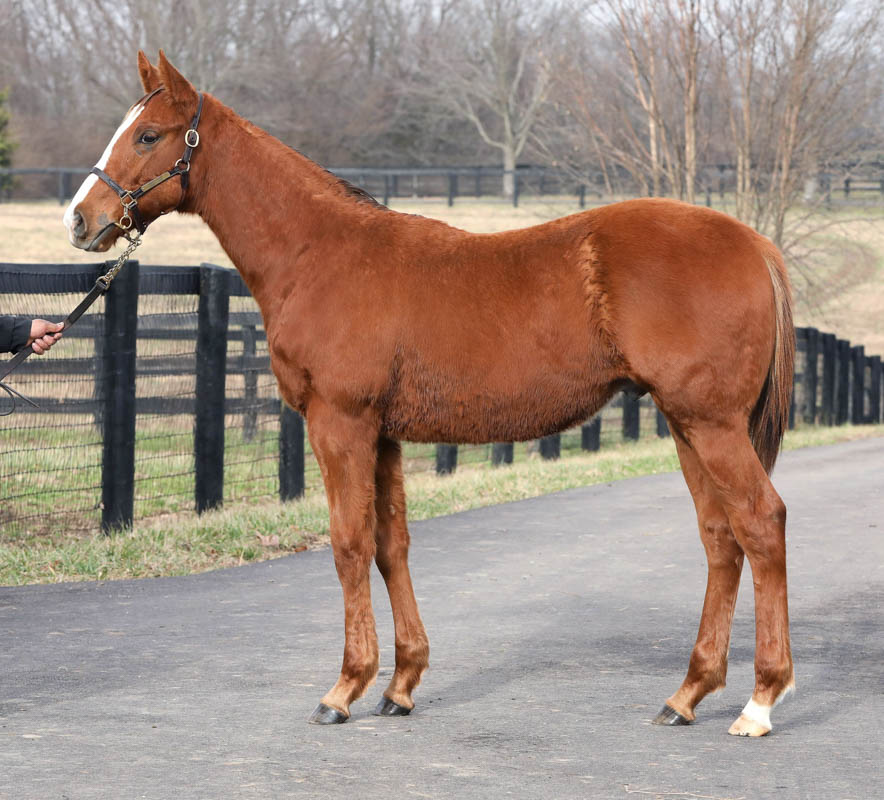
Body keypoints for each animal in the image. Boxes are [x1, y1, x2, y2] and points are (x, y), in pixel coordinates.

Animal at [63, 51, 795, 737]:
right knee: (720, 538)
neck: (318, 254)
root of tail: (753, 242)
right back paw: (688, 694)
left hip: (711, 424)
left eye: (149, 135)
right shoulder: (383, 434)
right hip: (685, 423)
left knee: (761, 523)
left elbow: (349, 544)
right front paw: (401, 684)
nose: (80, 220)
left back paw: (760, 700)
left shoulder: (340, 425)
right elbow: (392, 546)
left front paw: (345, 688)